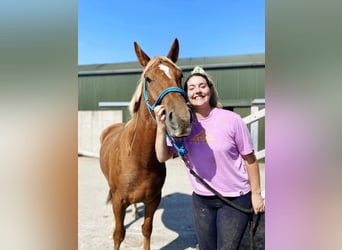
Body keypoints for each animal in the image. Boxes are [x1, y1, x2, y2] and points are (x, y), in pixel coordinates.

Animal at [99, 39, 192, 250]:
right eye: (148, 79)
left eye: (180, 75)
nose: (182, 120)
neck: (139, 158)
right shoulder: (118, 201)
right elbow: (119, 234)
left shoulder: (153, 200)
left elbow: (146, 230)